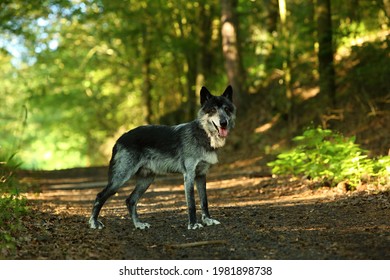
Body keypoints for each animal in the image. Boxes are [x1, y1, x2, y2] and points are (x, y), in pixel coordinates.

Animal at [89, 86, 235, 230]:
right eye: (213, 110)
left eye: (227, 109)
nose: (223, 123)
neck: (202, 134)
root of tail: (119, 139)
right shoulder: (189, 175)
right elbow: (192, 203)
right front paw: (193, 224)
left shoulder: (201, 175)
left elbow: (204, 201)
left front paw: (208, 220)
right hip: (120, 179)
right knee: (100, 196)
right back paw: (94, 222)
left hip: (146, 180)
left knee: (130, 200)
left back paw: (138, 224)